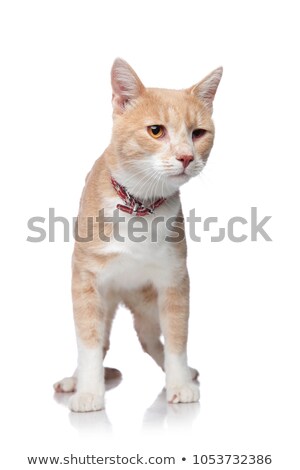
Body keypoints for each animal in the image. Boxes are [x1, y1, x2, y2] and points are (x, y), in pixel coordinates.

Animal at [54, 57, 223, 412]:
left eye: (198, 133)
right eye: (156, 130)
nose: (186, 157)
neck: (139, 206)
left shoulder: (174, 280)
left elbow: (176, 337)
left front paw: (180, 384)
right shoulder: (85, 280)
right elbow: (89, 342)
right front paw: (89, 392)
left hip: (148, 305)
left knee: (149, 339)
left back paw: (184, 374)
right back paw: (74, 380)